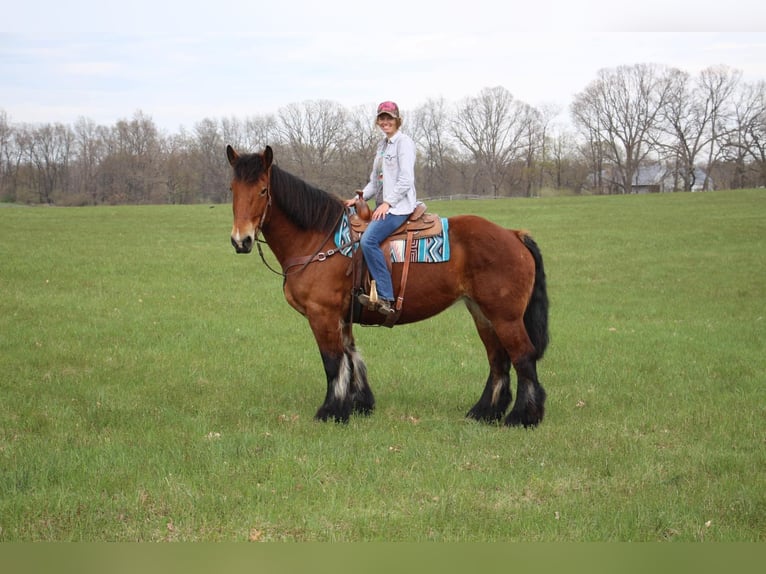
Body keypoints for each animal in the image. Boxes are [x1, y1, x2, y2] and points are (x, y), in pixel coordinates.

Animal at [225, 146, 548, 430]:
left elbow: (333, 362)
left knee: (523, 357)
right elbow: (351, 357)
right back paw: (484, 412)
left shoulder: (322, 315)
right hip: (482, 313)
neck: (319, 239)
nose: (241, 240)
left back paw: (523, 417)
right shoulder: (342, 317)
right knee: (498, 360)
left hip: (505, 317)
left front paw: (331, 411)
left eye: (262, 190)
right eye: (232, 190)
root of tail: (513, 235)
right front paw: (359, 405)